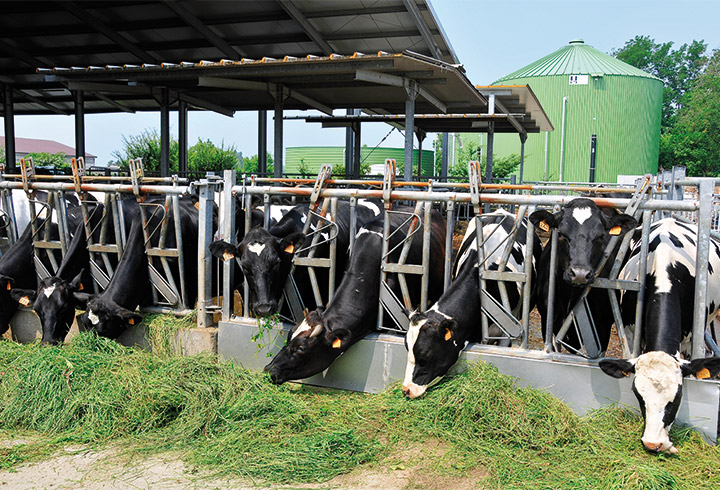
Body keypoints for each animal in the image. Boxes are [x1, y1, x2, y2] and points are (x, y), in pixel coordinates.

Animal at [528, 197, 636, 354]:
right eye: (561, 234)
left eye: (601, 236)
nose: (580, 274)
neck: (570, 296)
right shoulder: (548, 323)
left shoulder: (603, 328)